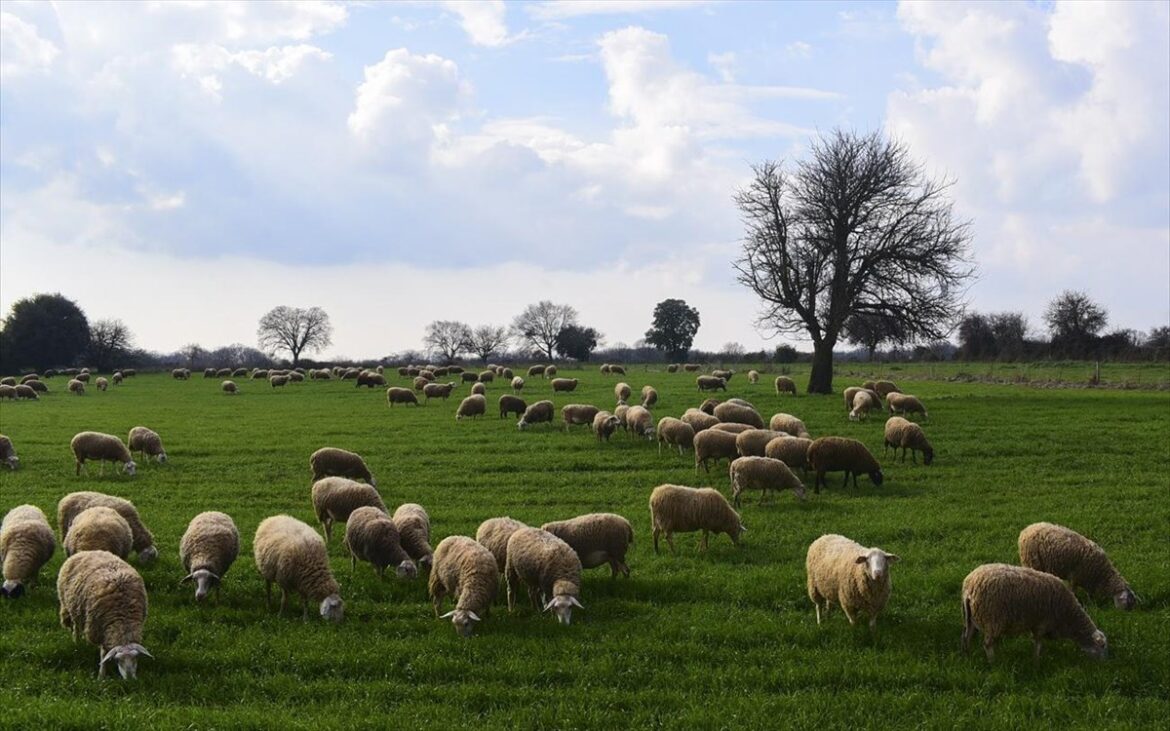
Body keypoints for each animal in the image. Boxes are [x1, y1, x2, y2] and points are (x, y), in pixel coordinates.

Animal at [959, 561, 1104, 659]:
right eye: (1102, 647)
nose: (1104, 663)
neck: (1069, 615)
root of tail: (969, 589)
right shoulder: (1042, 623)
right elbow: (1038, 644)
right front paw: (1036, 662)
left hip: (971, 618)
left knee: (966, 636)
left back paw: (967, 655)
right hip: (992, 621)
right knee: (987, 645)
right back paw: (993, 662)